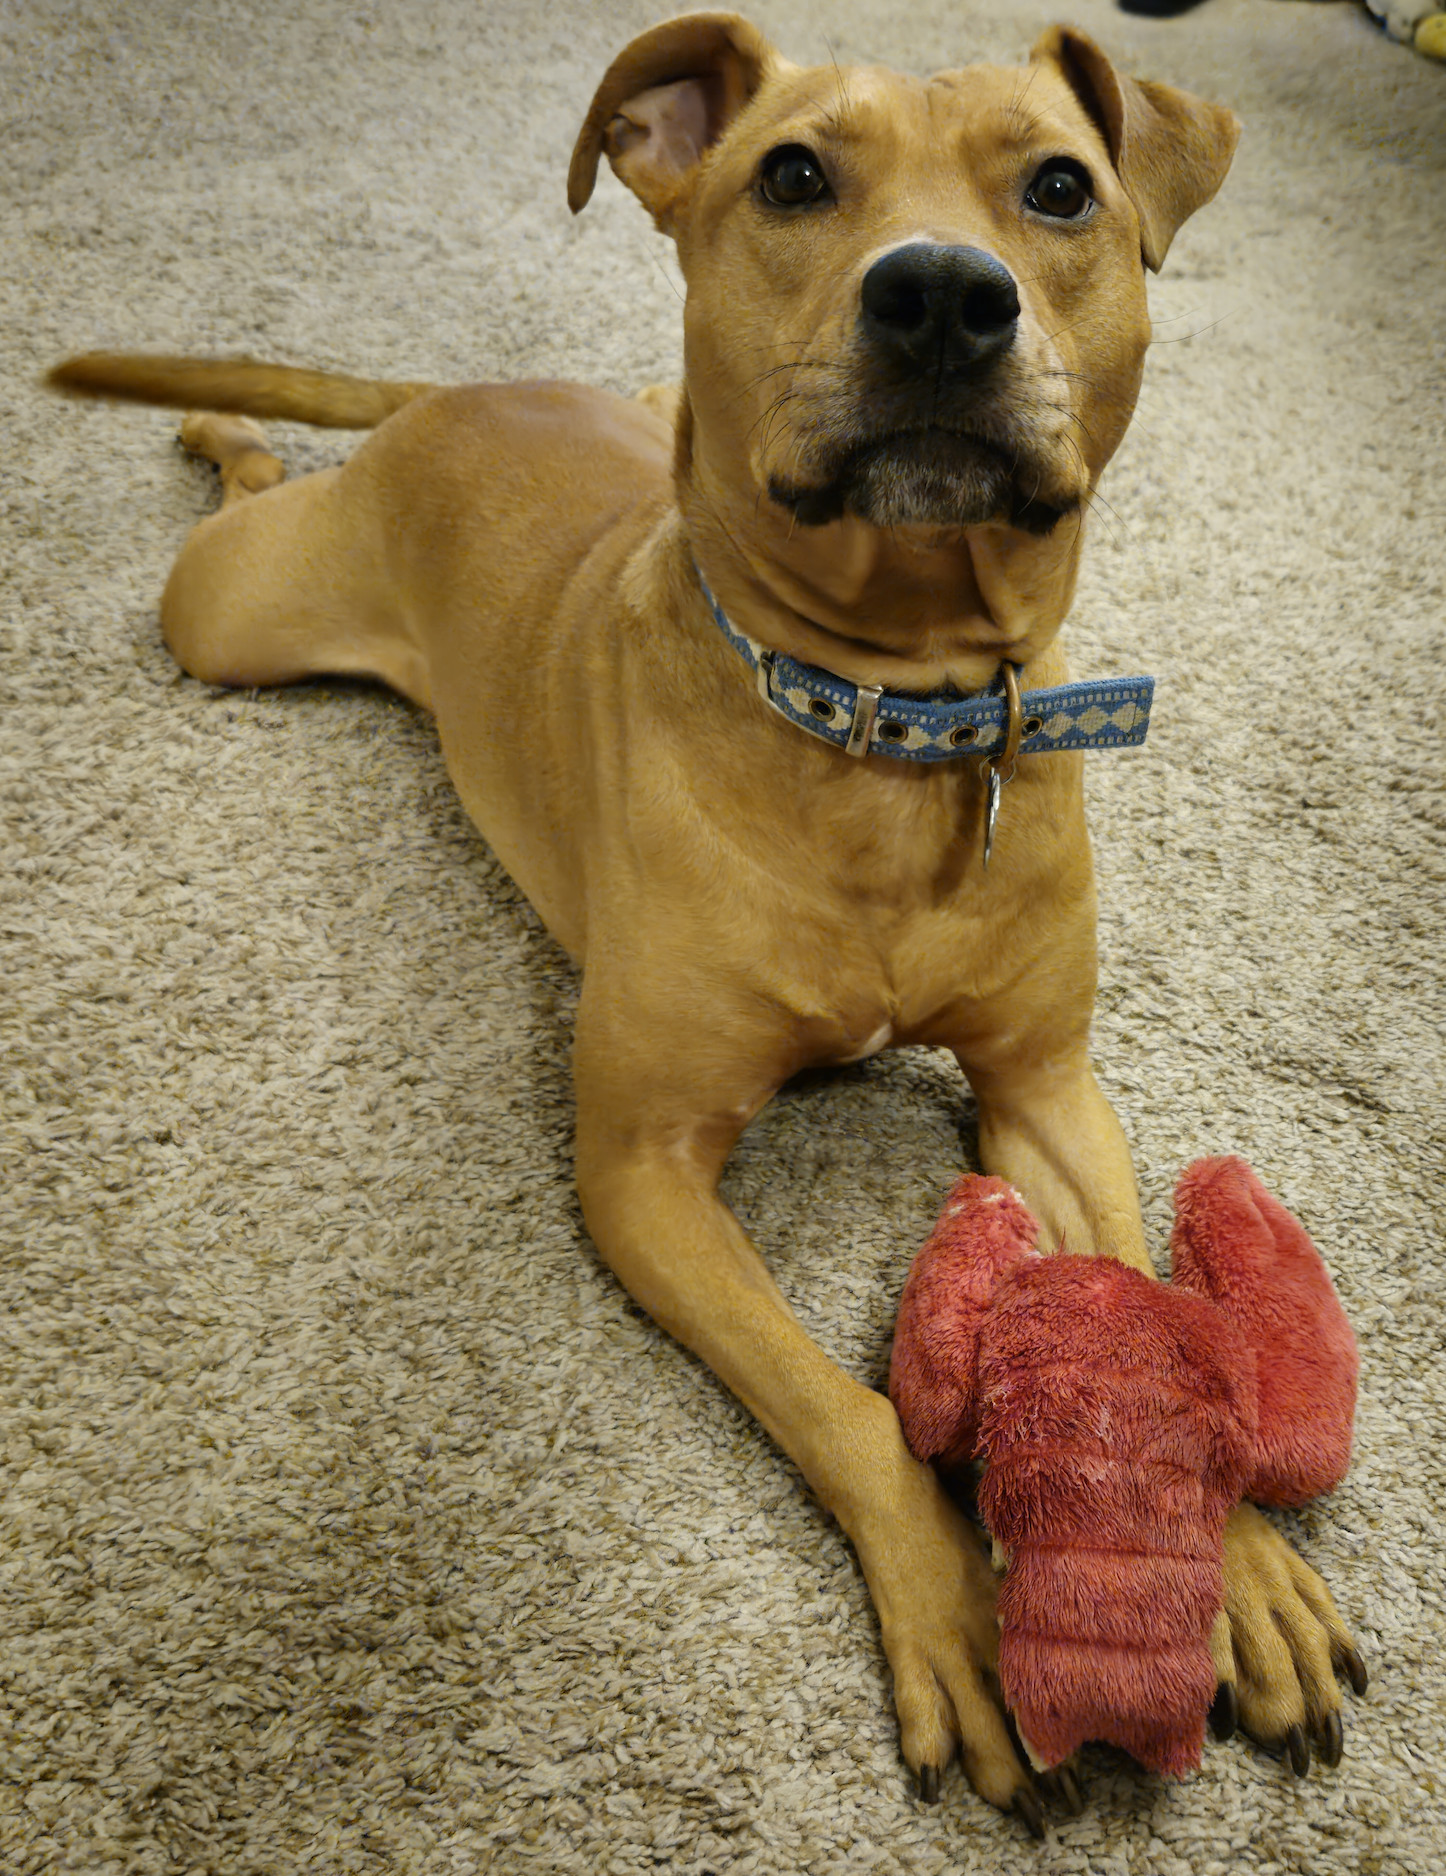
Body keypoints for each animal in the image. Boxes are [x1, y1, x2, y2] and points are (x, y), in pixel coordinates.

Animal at [48, 11, 1365, 1830]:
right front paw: (958, 1608)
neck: (886, 721)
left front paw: (1238, 1563)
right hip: (228, 614)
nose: (941, 294)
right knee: (240, 484)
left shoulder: (1045, 1089)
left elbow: (1146, 1303)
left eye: (1058, 190)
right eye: (793, 175)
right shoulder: (644, 1173)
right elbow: (842, 1407)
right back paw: (213, 440)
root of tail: (451, 397)